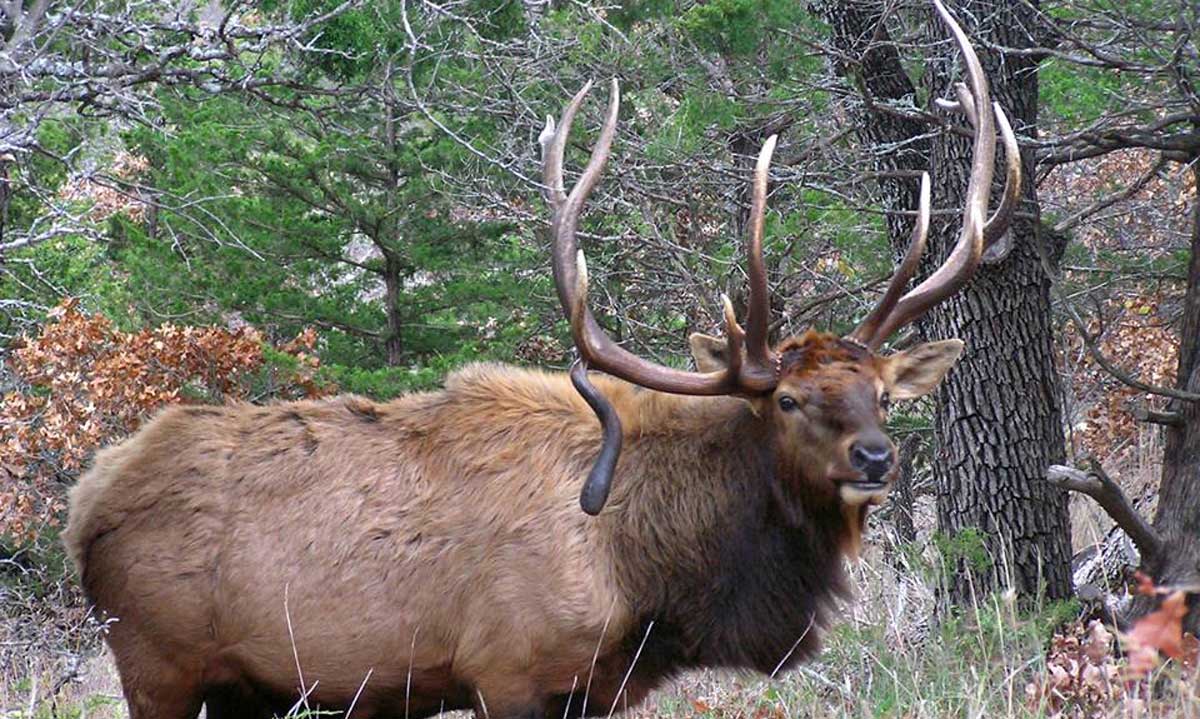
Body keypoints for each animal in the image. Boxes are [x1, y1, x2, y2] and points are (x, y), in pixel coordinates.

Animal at [63, 3, 1018, 717]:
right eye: (784, 400)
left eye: (883, 394)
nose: (875, 458)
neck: (648, 574)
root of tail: (86, 505)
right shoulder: (510, 668)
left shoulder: (591, 690)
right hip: (155, 662)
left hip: (243, 689)